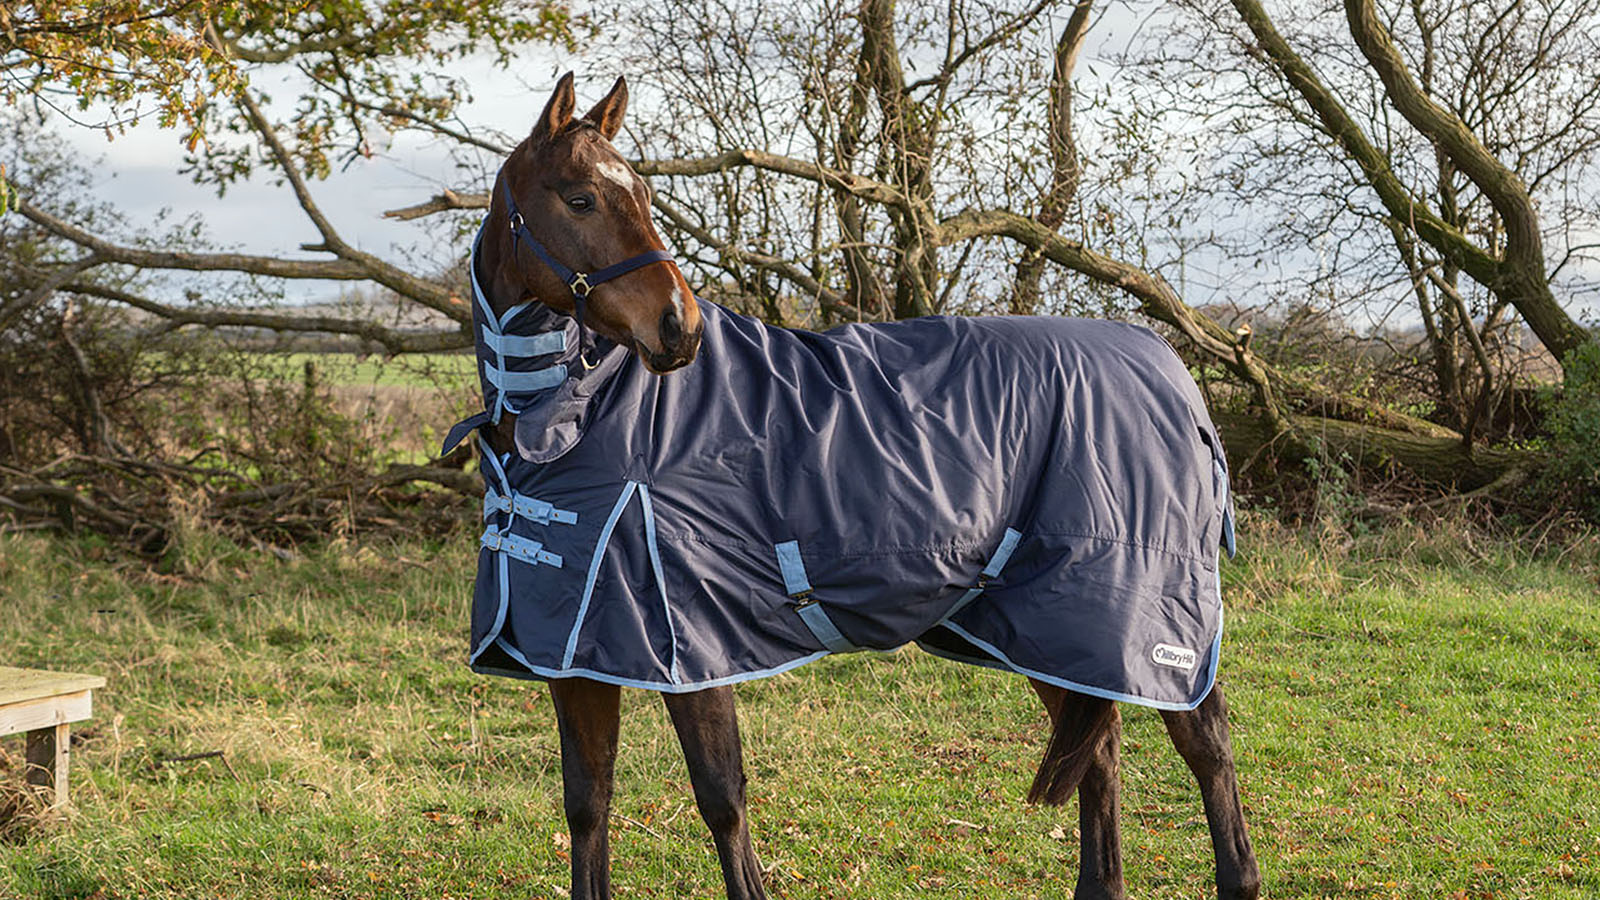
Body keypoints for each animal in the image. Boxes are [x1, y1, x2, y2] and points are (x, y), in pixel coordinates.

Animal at [451, 72, 1261, 900]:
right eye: (581, 198)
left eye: (642, 194)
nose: (680, 328)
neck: (578, 420)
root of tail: (1173, 371)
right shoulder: (574, 656)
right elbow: (588, 802)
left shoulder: (693, 650)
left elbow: (722, 800)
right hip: (1047, 627)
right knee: (1099, 752)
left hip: (1135, 617)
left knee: (1207, 745)